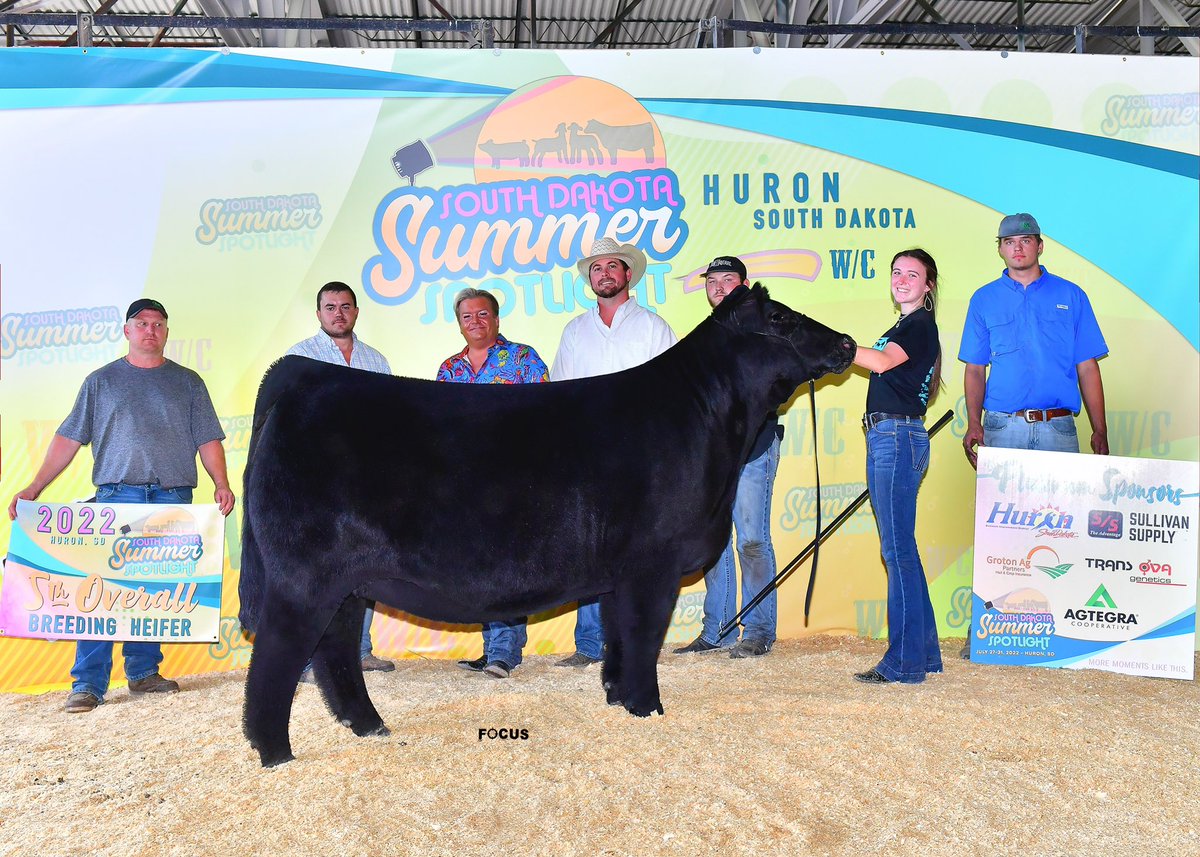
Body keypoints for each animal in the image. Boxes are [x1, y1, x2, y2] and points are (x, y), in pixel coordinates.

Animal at [238, 285, 854, 766]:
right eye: (779, 318)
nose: (848, 343)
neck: (708, 419)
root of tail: (302, 376)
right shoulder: (651, 567)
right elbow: (643, 639)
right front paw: (647, 709)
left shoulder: (620, 575)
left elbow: (618, 640)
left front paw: (616, 698)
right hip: (303, 577)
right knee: (277, 656)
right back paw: (275, 754)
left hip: (345, 583)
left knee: (335, 651)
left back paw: (369, 727)